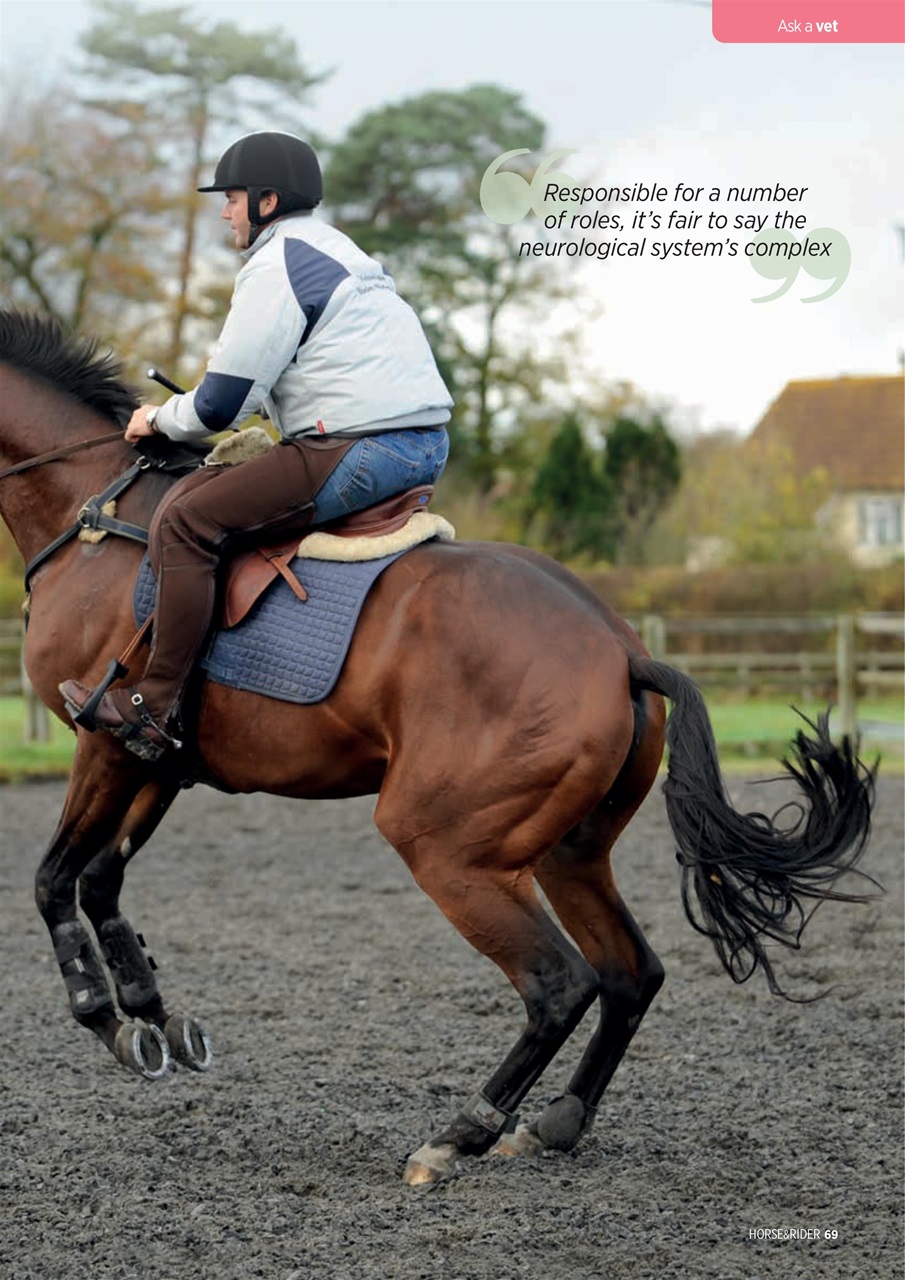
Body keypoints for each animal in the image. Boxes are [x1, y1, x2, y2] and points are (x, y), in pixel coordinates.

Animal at [0, 310, 876, 1185]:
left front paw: (107, 1019)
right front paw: (151, 1014)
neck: (90, 516)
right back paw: (556, 1121)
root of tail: (618, 648)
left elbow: (54, 881)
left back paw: (461, 1133)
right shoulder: (158, 761)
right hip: (566, 854)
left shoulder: (108, 745)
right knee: (631, 975)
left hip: (446, 847)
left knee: (559, 984)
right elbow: (102, 881)